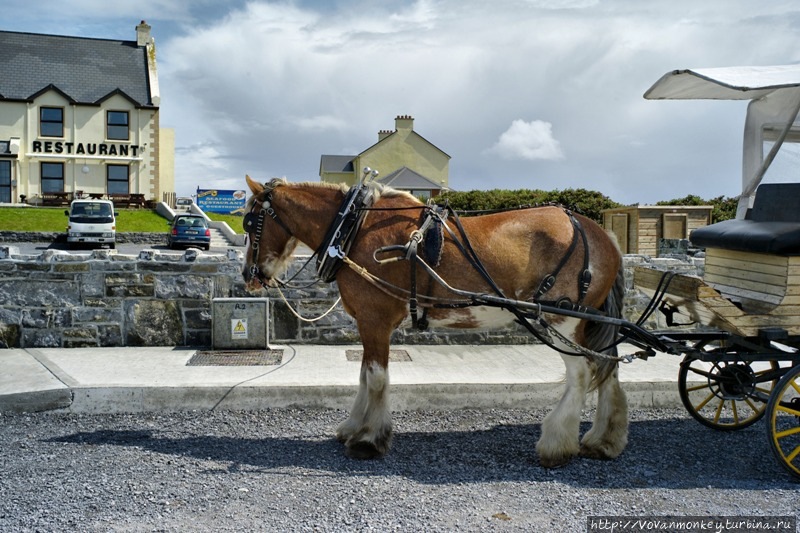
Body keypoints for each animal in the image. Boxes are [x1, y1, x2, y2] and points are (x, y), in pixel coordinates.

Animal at [241, 176, 628, 466]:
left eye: (250, 222)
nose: (249, 274)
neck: (353, 228)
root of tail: (601, 234)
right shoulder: (368, 323)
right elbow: (364, 375)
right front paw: (353, 427)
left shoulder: (375, 319)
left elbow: (376, 378)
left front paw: (369, 440)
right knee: (608, 367)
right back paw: (603, 440)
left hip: (560, 321)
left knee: (581, 374)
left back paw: (556, 444)